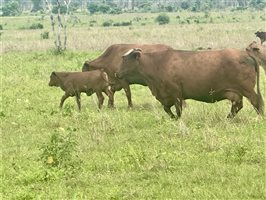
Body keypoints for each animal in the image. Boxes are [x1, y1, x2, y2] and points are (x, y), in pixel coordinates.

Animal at [116, 44, 264, 118]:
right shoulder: (166, 96)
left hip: (247, 89)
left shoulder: (176, 94)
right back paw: (228, 118)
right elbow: (167, 109)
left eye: (124, 59)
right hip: (235, 92)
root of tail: (245, 54)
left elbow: (178, 110)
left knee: (256, 101)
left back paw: (260, 117)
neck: (157, 64)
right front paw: (173, 118)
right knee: (238, 105)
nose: (117, 73)